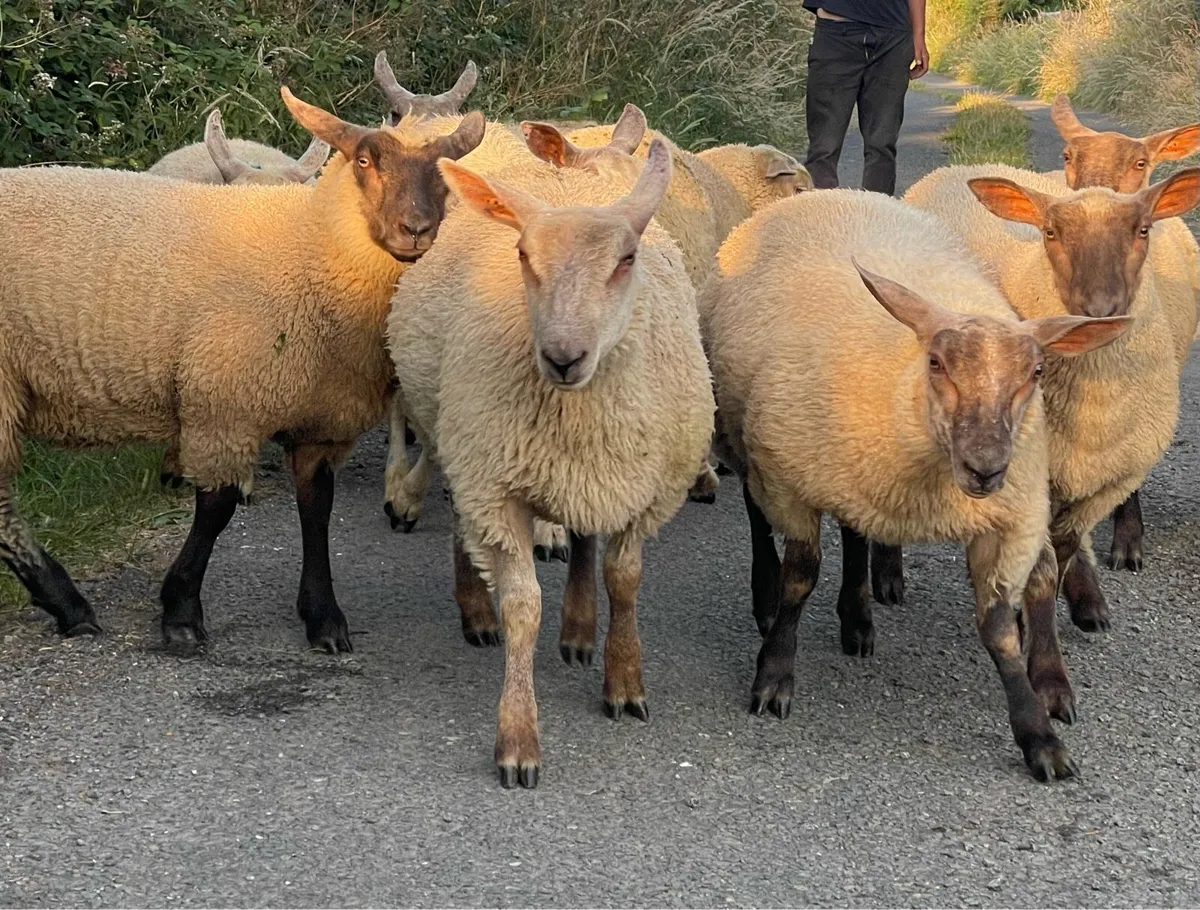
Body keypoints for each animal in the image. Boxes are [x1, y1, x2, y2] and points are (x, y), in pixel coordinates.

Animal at [387, 139, 714, 787]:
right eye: (522, 254)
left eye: (626, 259)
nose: (563, 357)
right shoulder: (495, 482)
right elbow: (522, 607)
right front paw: (518, 737)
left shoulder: (647, 491)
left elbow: (624, 578)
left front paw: (624, 680)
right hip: (456, 430)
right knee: (463, 518)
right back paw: (476, 611)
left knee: (584, 537)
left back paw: (580, 628)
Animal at [700, 188, 1130, 780]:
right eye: (936, 362)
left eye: (1037, 373)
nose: (986, 466)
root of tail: (833, 191)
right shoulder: (788, 483)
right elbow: (799, 579)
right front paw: (773, 675)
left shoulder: (1009, 520)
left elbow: (1000, 628)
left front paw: (1038, 737)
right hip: (752, 443)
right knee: (756, 516)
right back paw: (769, 602)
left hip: (854, 475)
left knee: (855, 532)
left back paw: (857, 620)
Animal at [900, 163, 1199, 634]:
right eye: (1050, 232)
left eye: (1143, 230)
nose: (1100, 309)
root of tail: (958, 167)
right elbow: (1039, 565)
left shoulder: (1109, 480)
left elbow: (1064, 549)